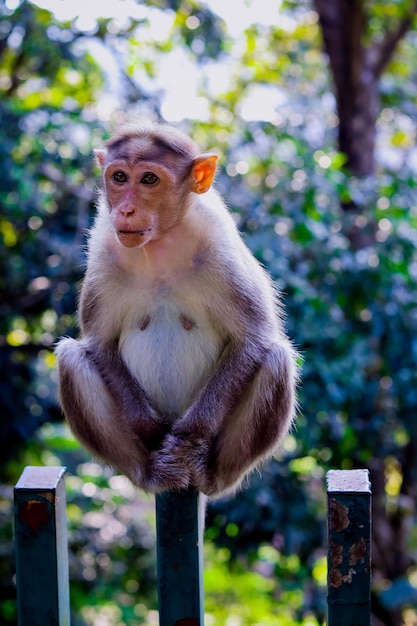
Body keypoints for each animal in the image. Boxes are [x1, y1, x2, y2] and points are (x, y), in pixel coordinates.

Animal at [55, 119, 298, 494]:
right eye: (119, 177)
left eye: (148, 180)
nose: (125, 210)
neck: (160, 248)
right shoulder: (103, 251)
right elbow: (99, 343)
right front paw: (152, 432)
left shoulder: (222, 250)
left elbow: (253, 339)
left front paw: (187, 439)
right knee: (70, 358)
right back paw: (152, 471)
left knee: (276, 358)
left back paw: (203, 468)